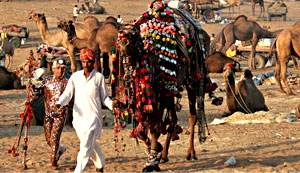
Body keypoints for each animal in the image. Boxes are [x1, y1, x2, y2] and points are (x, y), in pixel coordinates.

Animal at [112, 0, 213, 170]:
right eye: (119, 36)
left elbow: (155, 127)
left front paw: (152, 160)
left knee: (192, 116)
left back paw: (190, 153)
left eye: (133, 36)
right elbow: (143, 128)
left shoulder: (160, 91)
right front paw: (155, 150)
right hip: (170, 89)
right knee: (172, 119)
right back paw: (164, 154)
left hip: (192, 79)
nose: (124, 46)